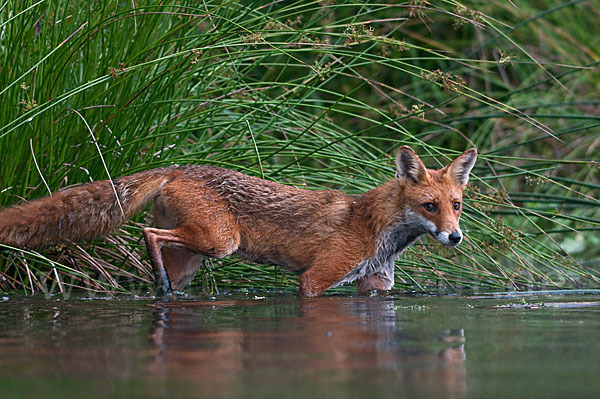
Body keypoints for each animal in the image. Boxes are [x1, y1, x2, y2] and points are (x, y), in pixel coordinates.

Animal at [1, 147, 478, 296]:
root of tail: (181, 167)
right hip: (220, 241)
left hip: (193, 257)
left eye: (456, 204)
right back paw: (159, 283)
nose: (454, 237)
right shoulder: (315, 279)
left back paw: (163, 289)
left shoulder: (376, 286)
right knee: (146, 232)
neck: (376, 228)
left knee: (159, 249)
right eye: (429, 207)